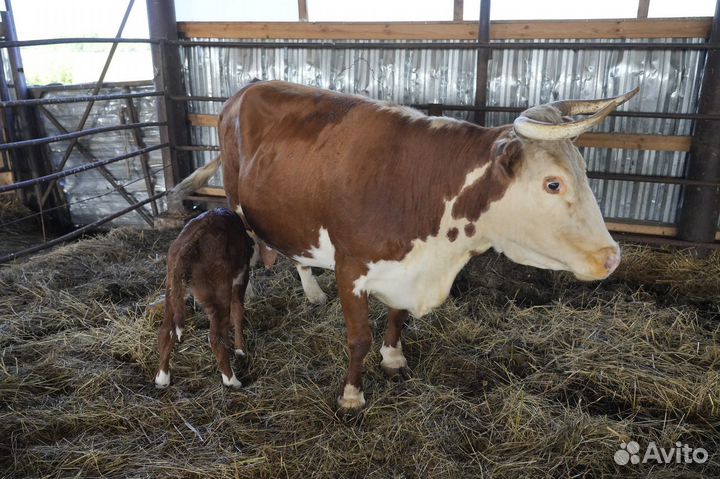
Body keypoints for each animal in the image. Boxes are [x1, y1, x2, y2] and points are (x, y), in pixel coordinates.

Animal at [154, 208, 253, 388]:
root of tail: (191, 244)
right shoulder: (241, 277)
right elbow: (238, 311)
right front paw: (240, 349)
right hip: (219, 293)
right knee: (215, 337)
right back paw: (232, 381)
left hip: (170, 289)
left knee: (165, 330)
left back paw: (162, 378)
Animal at [173, 80, 636, 410]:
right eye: (552, 183)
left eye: (585, 172)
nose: (611, 256)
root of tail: (246, 90)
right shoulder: (351, 267)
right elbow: (358, 338)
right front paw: (352, 395)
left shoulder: (406, 267)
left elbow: (397, 317)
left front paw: (394, 357)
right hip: (237, 201)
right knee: (249, 246)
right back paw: (249, 290)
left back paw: (311, 290)